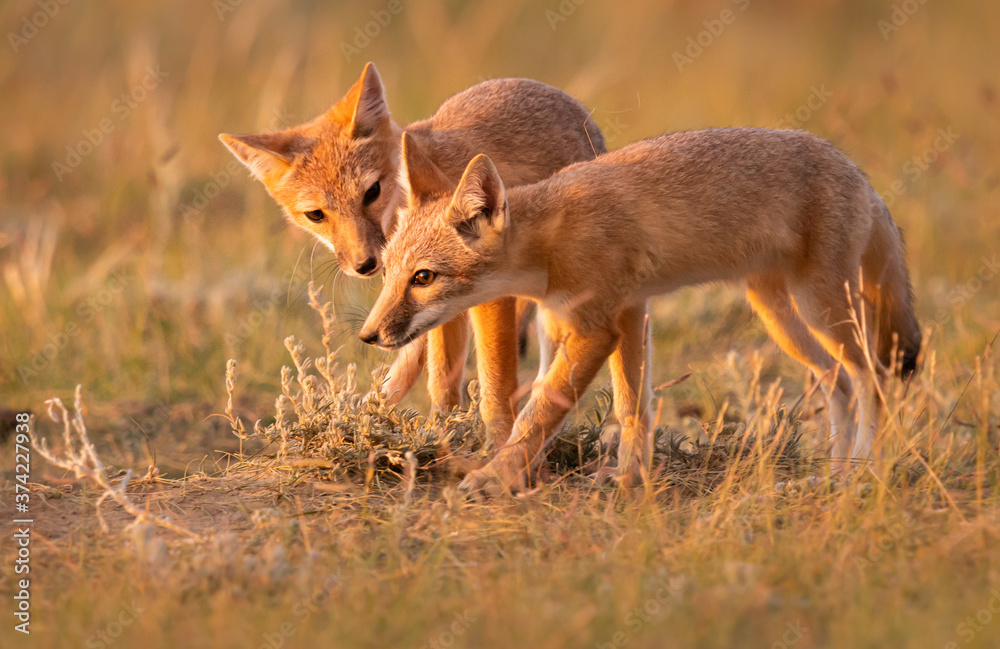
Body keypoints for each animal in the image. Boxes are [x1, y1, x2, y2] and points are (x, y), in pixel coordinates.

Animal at [220, 63, 604, 446]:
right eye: (316, 215)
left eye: (371, 192)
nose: (365, 264)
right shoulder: (434, 301)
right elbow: (440, 379)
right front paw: (444, 433)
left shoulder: (487, 297)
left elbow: (495, 384)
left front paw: (496, 443)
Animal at [360, 125, 920, 492]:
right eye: (388, 274)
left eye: (423, 278)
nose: (368, 336)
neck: (551, 241)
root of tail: (860, 175)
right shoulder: (619, 315)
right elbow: (631, 406)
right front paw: (628, 476)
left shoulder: (598, 328)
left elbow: (540, 410)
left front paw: (495, 476)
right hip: (781, 316)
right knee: (840, 381)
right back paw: (835, 474)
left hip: (820, 307)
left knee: (872, 378)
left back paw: (862, 472)